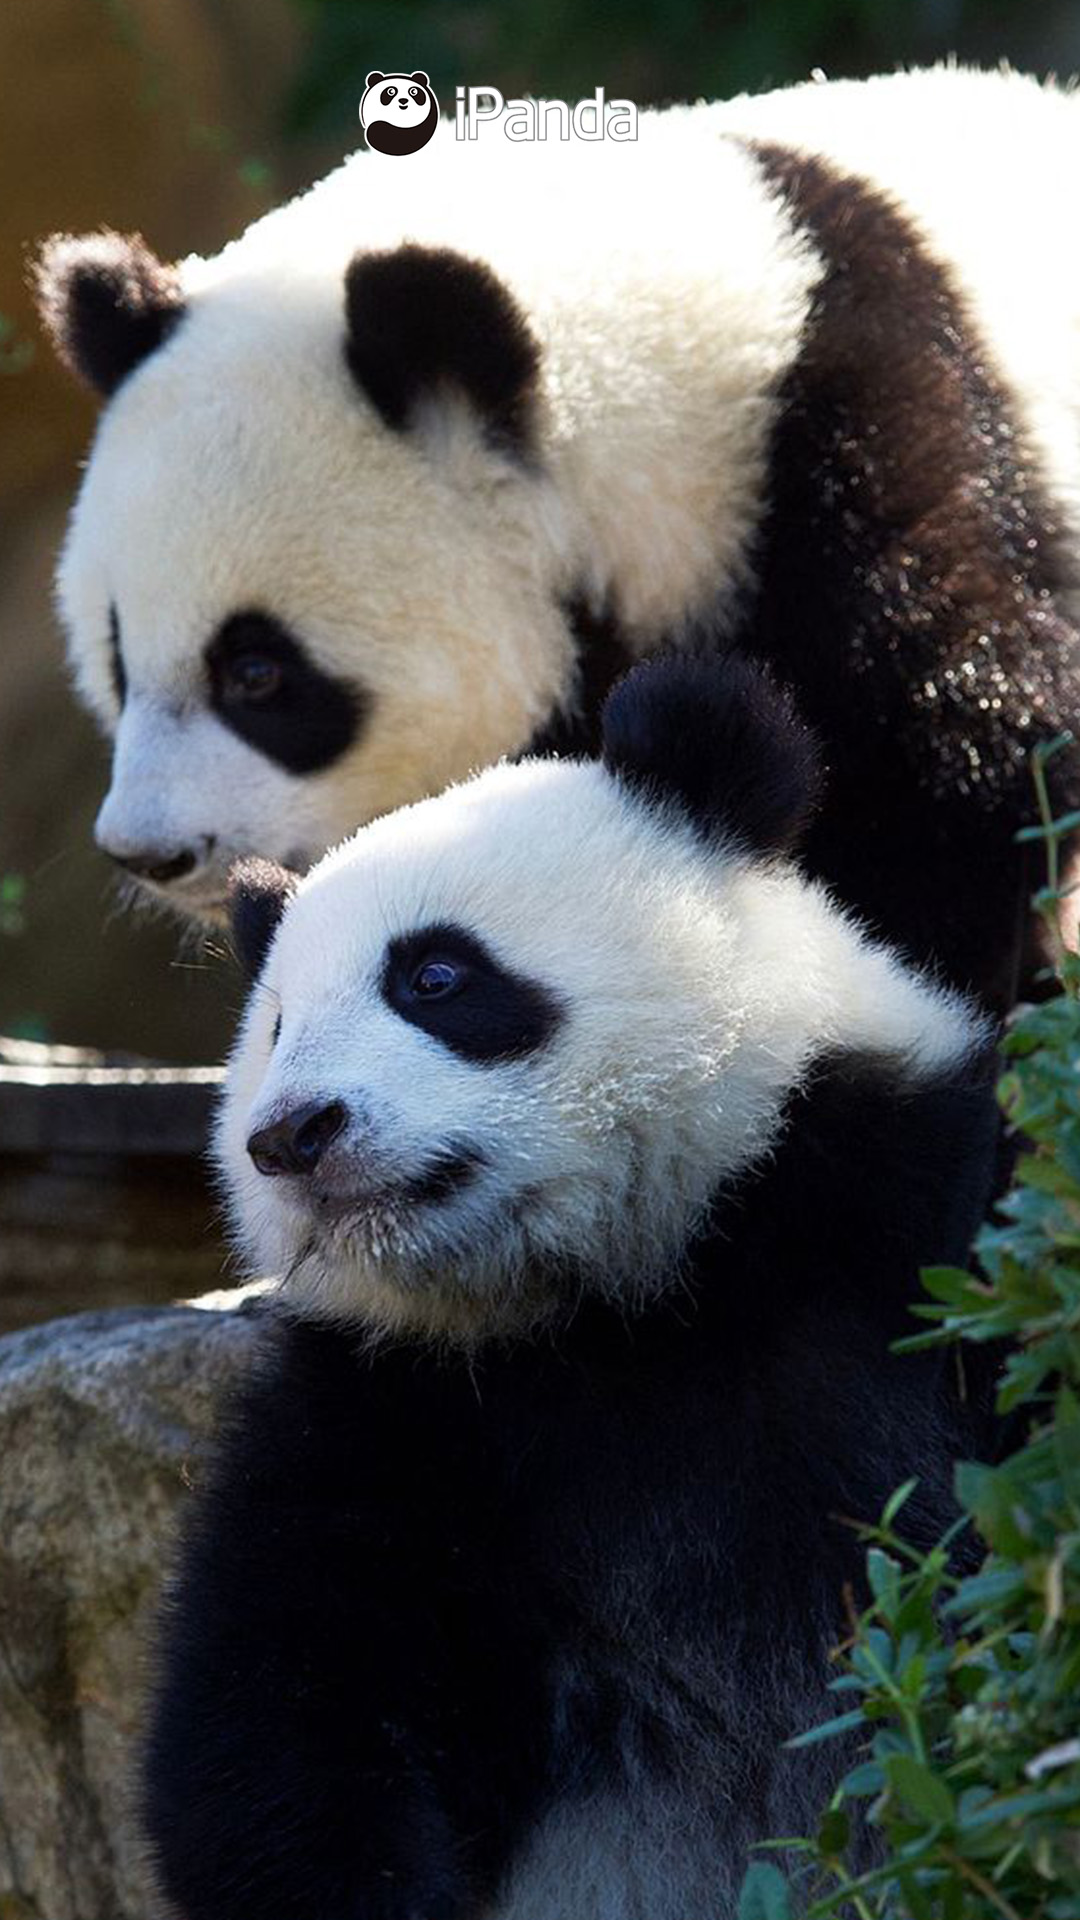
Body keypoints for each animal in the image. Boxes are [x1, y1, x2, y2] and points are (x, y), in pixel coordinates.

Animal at [141, 652, 999, 1920]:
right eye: (278, 1027)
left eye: (435, 976)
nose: (292, 1135)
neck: (637, 1288)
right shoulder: (392, 1415)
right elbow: (279, 1717)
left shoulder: (906, 1219)